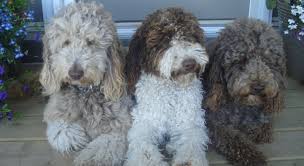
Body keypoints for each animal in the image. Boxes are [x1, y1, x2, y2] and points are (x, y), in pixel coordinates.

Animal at [39, 1, 132, 165]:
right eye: (66, 42)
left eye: (91, 42)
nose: (75, 73)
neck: (85, 91)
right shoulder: (57, 111)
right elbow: (63, 132)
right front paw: (81, 137)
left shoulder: (120, 124)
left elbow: (102, 148)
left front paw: (88, 158)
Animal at [124, 7, 210, 166]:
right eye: (165, 40)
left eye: (190, 36)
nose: (190, 63)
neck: (171, 89)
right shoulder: (145, 121)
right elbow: (144, 148)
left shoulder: (190, 121)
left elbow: (190, 142)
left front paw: (186, 160)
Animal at [204, 17, 288, 165]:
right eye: (241, 60)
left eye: (267, 61)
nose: (258, 87)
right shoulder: (214, 122)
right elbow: (233, 139)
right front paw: (253, 157)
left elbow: (264, 123)